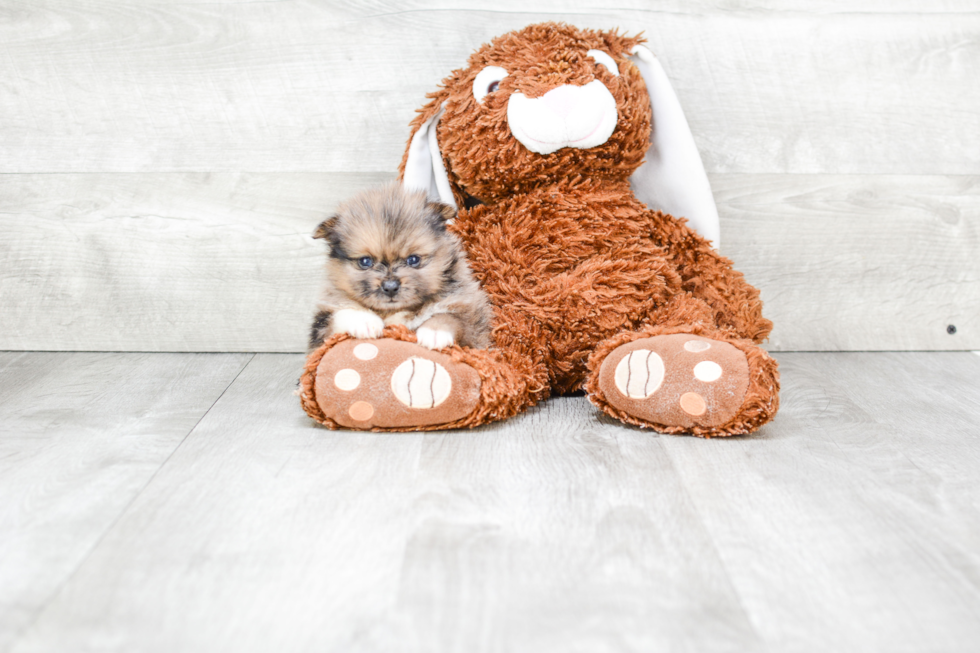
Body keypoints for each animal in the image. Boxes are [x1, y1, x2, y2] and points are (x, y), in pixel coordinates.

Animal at [310, 181, 494, 354]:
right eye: (365, 261)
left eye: (413, 259)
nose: (390, 287)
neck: (394, 312)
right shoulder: (320, 331)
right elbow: (339, 313)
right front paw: (365, 321)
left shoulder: (472, 324)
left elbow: (450, 316)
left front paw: (434, 331)